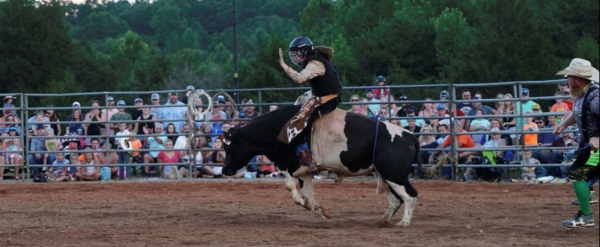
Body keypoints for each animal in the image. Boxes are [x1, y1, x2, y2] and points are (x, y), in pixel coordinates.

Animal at [223, 103, 428, 226]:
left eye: (229, 148)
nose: (225, 169)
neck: (279, 129)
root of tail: (410, 136)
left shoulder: (292, 165)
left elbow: (291, 188)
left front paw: (310, 206)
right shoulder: (305, 170)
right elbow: (308, 194)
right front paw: (320, 210)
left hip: (394, 174)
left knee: (410, 196)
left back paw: (403, 223)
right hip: (384, 175)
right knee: (395, 200)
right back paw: (383, 221)